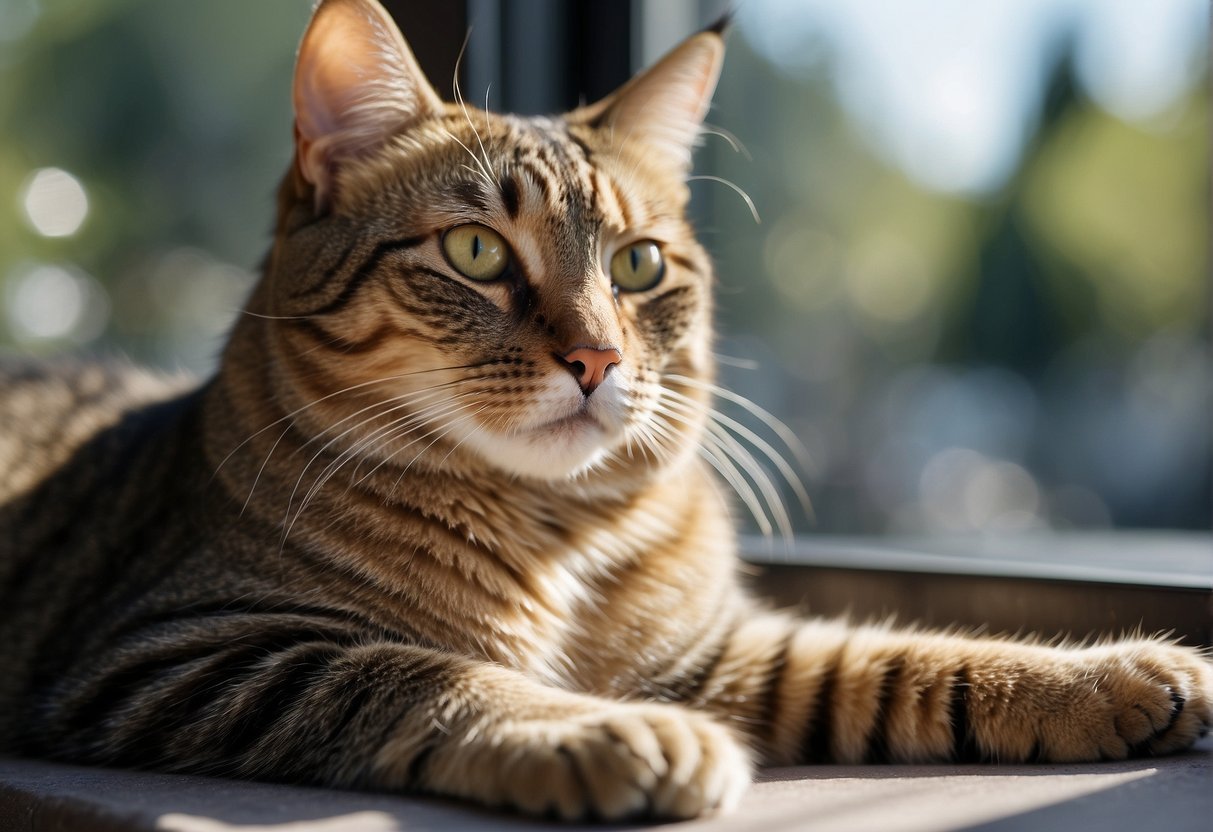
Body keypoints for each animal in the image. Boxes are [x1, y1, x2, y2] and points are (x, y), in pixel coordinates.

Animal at [0, 0, 1208, 819]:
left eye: (637, 265)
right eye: (475, 251)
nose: (595, 355)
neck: (561, 534)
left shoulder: (720, 652)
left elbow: (902, 659)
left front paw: (1108, 674)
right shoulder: (178, 652)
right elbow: (429, 671)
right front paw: (608, 728)